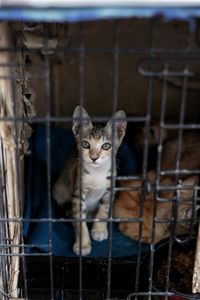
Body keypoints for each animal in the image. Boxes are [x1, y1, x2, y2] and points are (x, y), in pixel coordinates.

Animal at [53, 106, 126, 255]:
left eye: (106, 146)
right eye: (86, 144)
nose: (94, 157)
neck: (97, 174)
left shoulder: (110, 189)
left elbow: (104, 209)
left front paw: (99, 230)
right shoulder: (78, 193)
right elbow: (80, 220)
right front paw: (83, 244)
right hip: (59, 188)